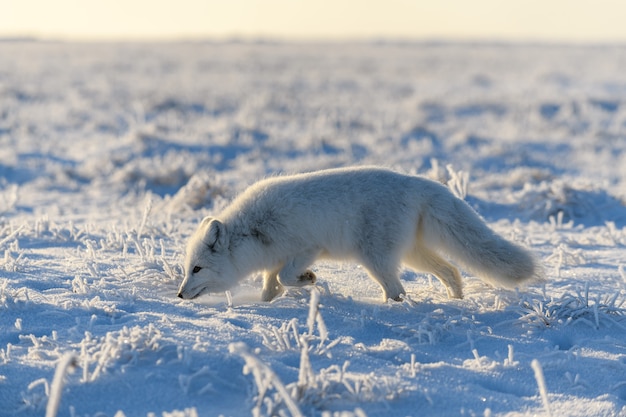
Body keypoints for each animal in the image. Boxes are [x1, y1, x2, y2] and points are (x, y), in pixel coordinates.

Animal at [176, 166, 536, 302]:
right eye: (186, 269)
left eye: (197, 268)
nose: (179, 294)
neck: (252, 232)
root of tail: (419, 183)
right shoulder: (274, 258)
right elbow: (271, 284)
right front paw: (267, 304)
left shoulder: (308, 248)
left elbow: (287, 276)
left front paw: (309, 280)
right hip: (412, 256)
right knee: (451, 270)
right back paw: (455, 300)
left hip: (376, 260)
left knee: (398, 290)